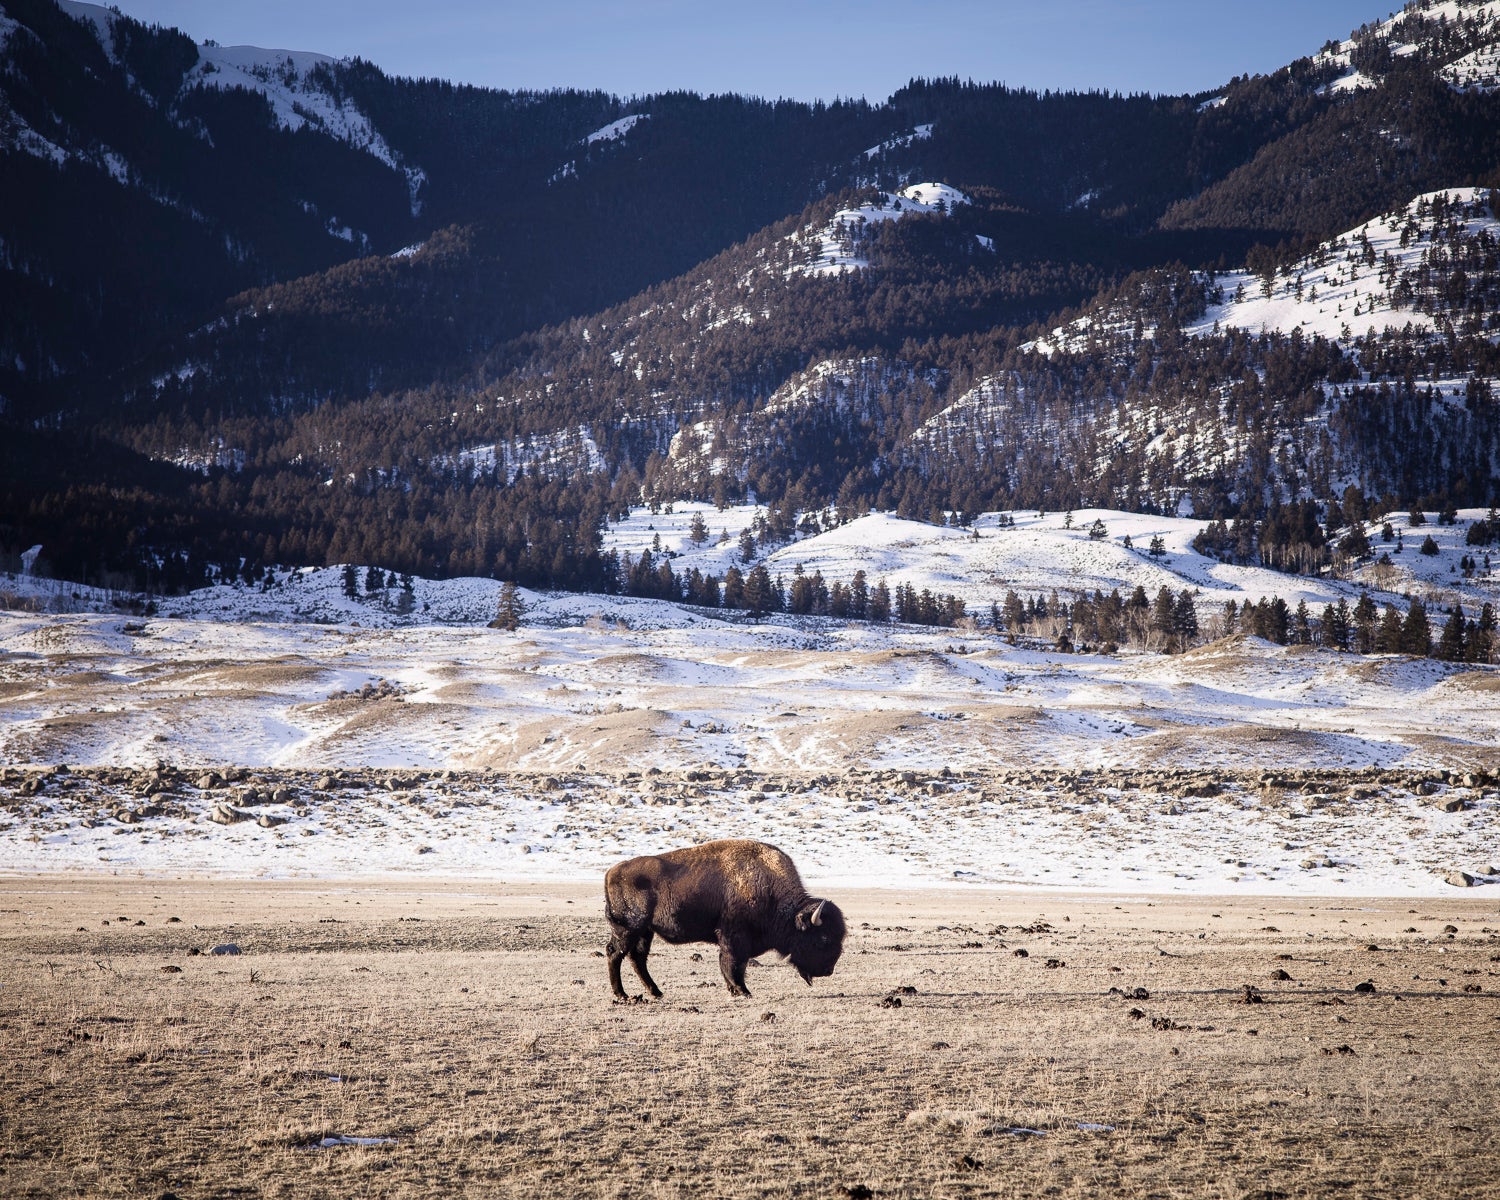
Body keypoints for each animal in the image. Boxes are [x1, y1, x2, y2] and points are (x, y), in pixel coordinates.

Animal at [606, 840, 846, 996]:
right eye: (823, 938)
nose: (828, 971)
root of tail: (611, 872)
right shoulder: (734, 937)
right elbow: (734, 963)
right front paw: (743, 991)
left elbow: (727, 963)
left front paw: (733, 990)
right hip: (628, 928)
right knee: (615, 953)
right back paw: (622, 994)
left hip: (645, 931)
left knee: (637, 958)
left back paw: (655, 992)